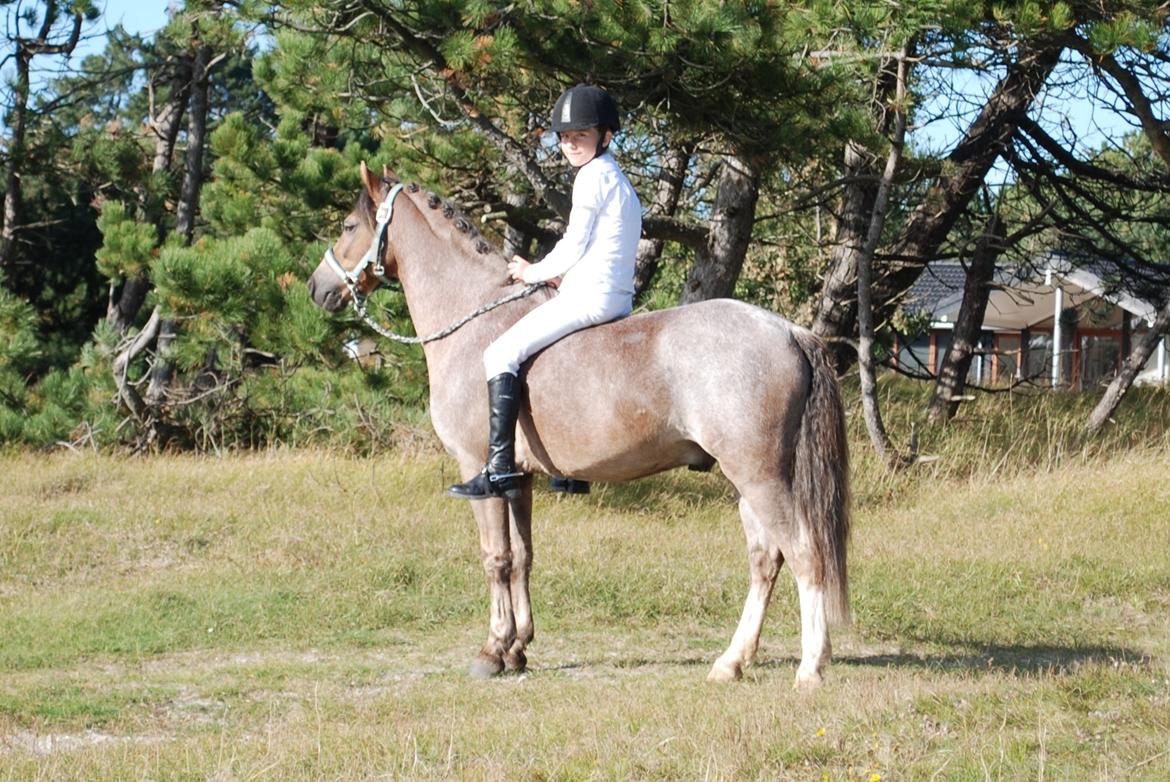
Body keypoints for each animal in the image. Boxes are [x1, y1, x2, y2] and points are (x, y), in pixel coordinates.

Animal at [306, 163, 851, 683]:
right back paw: (731, 662)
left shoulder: (476, 470)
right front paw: (517, 648)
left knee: (805, 554)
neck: (475, 320)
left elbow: (495, 558)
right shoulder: (517, 478)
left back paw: (810, 668)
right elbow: (523, 556)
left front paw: (492, 651)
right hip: (748, 481)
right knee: (766, 560)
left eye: (349, 225)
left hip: (760, 477)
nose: (316, 287)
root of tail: (789, 330)